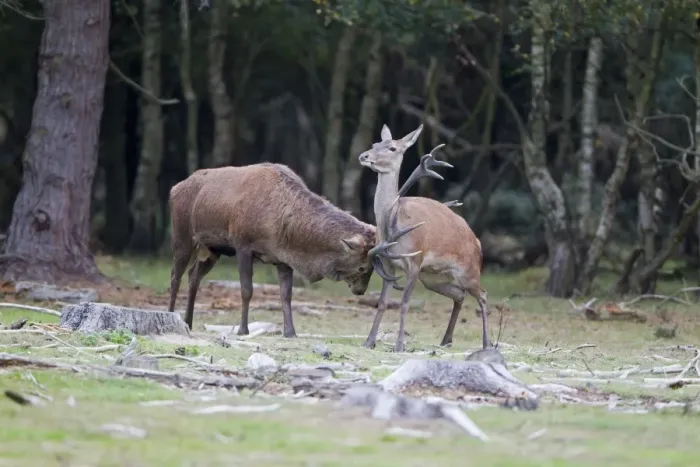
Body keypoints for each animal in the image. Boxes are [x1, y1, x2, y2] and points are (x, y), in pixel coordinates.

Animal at [167, 163, 423, 336]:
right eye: (362, 267)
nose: (360, 291)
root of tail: (174, 188)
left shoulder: (282, 257)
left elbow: (286, 294)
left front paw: (290, 331)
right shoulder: (242, 244)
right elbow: (247, 290)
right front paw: (243, 329)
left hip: (212, 249)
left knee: (194, 275)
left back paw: (188, 322)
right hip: (182, 234)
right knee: (175, 276)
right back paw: (171, 315)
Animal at [359, 124, 490, 352]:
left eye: (392, 148)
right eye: (375, 143)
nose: (364, 156)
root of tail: (477, 241)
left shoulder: (415, 261)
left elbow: (404, 303)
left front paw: (399, 345)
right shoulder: (388, 263)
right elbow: (383, 303)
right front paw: (369, 342)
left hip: (469, 271)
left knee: (482, 295)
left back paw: (487, 343)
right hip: (432, 278)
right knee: (459, 295)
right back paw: (446, 340)